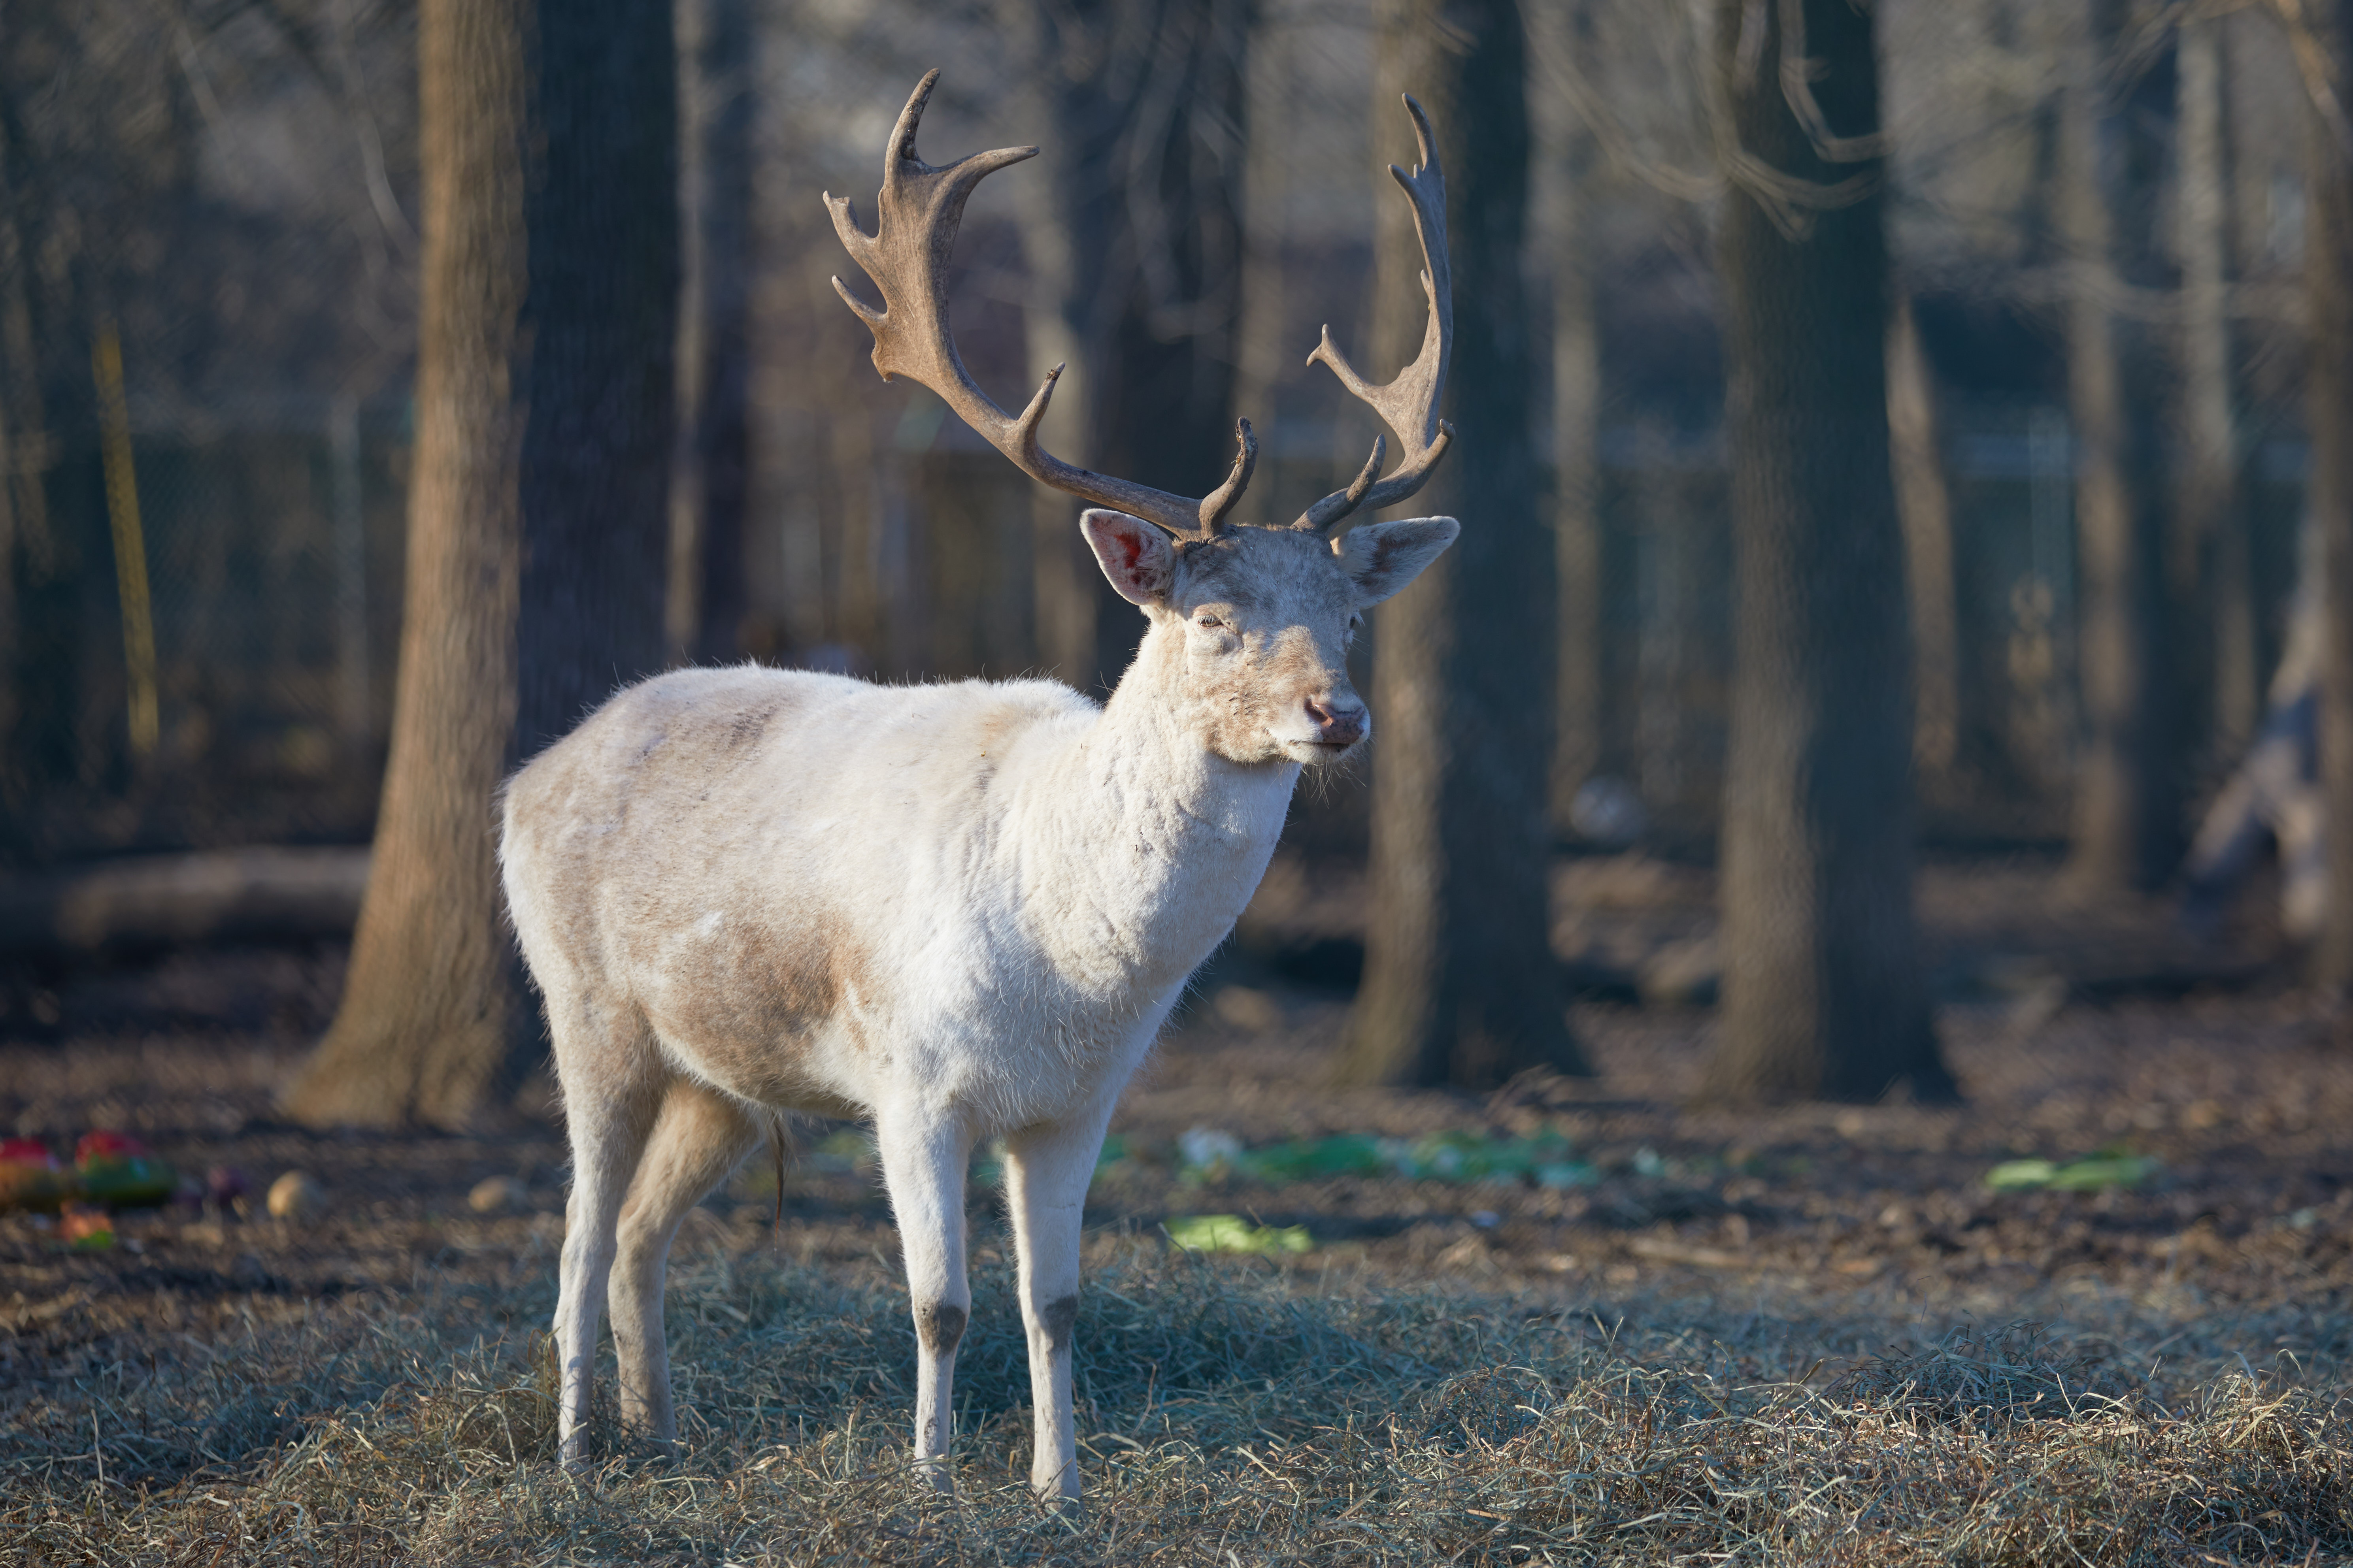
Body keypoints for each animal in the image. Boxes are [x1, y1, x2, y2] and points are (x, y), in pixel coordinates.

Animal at [498, 70, 1461, 1501]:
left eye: (1350, 615)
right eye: (1213, 617)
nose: (1335, 715)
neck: (1073, 971)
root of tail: (525, 776)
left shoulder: (1077, 1106)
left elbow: (1054, 1302)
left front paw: (1060, 1488)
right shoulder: (914, 1081)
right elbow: (939, 1302)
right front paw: (932, 1479)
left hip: (723, 1072)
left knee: (637, 1238)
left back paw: (658, 1438)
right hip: (589, 1009)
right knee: (572, 1234)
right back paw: (574, 1457)